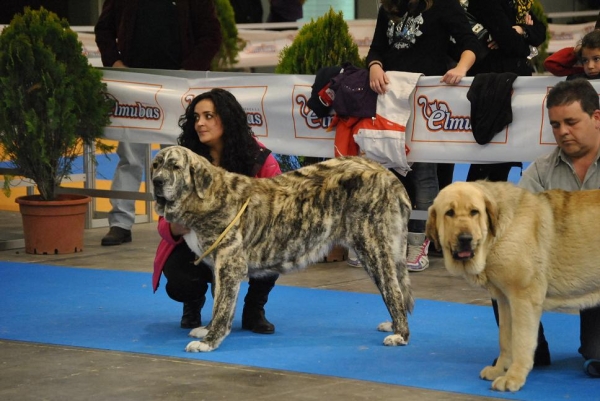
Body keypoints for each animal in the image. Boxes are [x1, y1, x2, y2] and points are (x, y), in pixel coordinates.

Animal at [151, 145, 412, 352]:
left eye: (175, 166)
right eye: (155, 165)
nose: (156, 181)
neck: (206, 196)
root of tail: (384, 171)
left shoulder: (229, 265)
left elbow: (223, 307)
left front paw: (209, 341)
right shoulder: (219, 266)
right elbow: (218, 305)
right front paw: (206, 330)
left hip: (372, 246)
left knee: (393, 291)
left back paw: (400, 334)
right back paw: (393, 325)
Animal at [424, 180, 600, 390]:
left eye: (475, 212)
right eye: (449, 213)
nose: (465, 238)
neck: (497, 235)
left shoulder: (523, 299)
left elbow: (521, 341)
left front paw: (513, 377)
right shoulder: (505, 301)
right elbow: (505, 339)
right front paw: (500, 369)